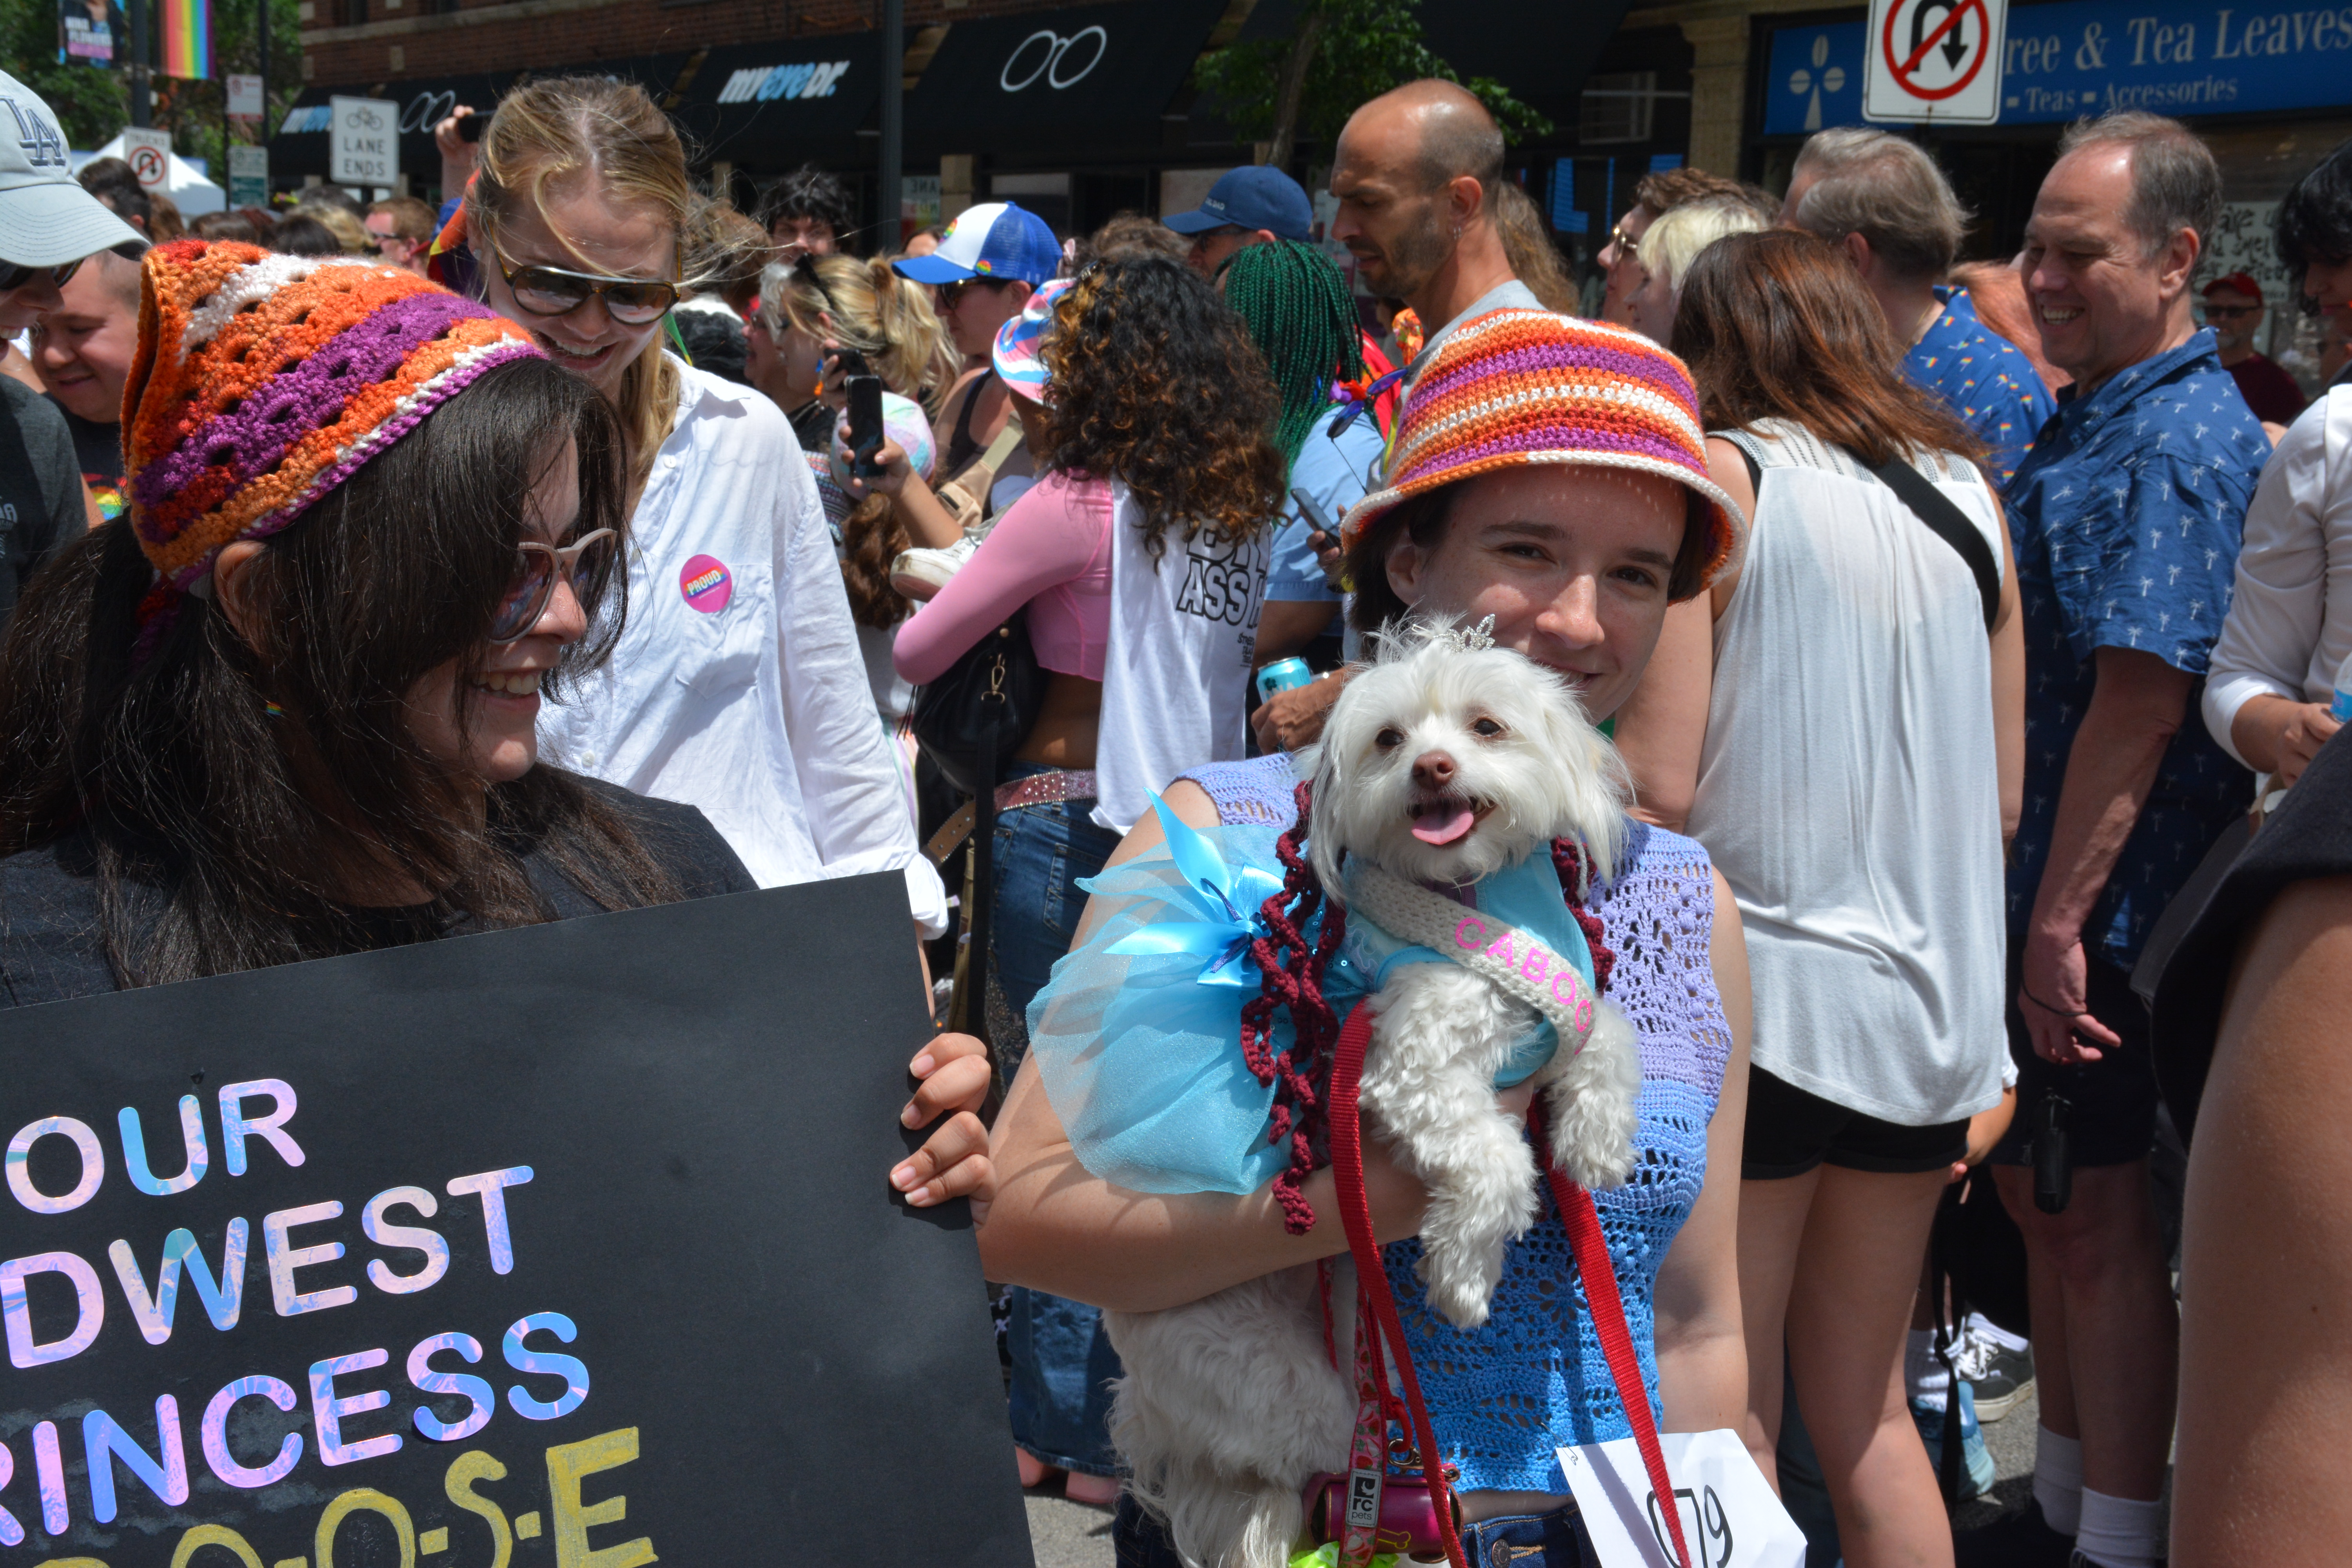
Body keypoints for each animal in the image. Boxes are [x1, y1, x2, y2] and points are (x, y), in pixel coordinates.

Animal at [1103, 621, 1645, 1568]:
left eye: (1486, 725)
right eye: (1389, 740)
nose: (1431, 766)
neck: (1468, 898)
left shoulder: (1562, 1015)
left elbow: (1606, 1038)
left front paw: (1595, 1141)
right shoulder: (1410, 1063)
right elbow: (1496, 1160)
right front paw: (1463, 1276)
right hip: (1260, 1367)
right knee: (1306, 1458)